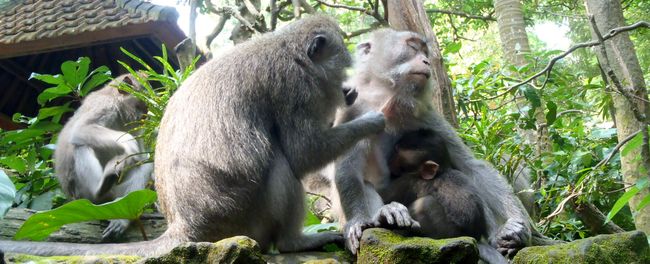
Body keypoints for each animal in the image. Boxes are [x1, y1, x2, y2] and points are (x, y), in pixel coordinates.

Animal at [52, 73, 153, 240]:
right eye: (142, 105)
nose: (146, 115)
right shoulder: (105, 106)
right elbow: (80, 130)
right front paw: (127, 141)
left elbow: (141, 157)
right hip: (82, 194)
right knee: (81, 146)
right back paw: (99, 190)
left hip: (118, 197)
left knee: (143, 165)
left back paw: (124, 217)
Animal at [378, 129, 508, 264]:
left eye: (399, 158)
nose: (390, 162)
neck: (440, 172)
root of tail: (474, 237)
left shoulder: (409, 181)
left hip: (447, 232)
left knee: (425, 205)